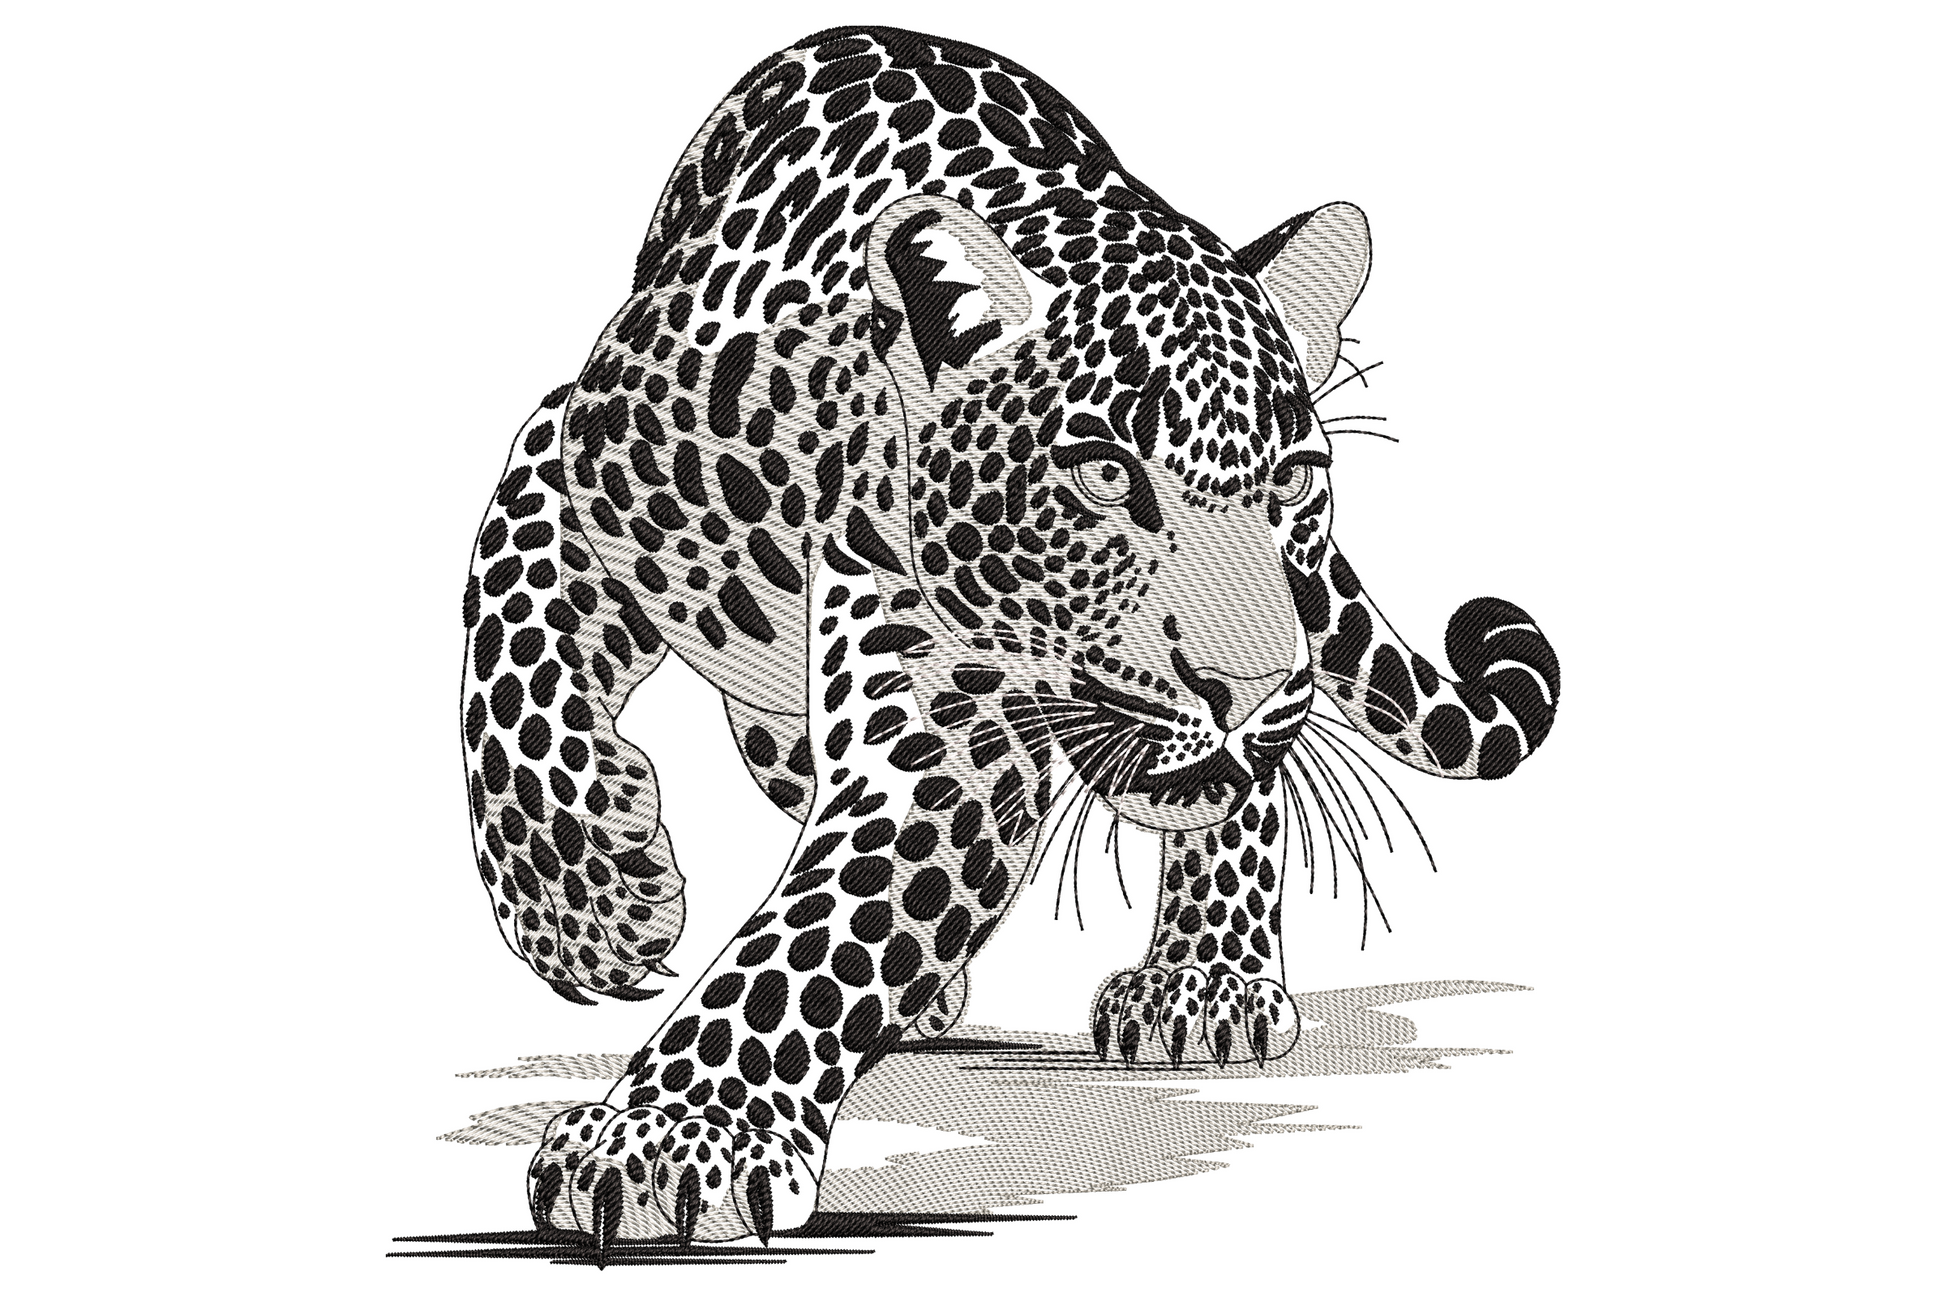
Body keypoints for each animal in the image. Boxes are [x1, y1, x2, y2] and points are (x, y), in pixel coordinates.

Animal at [458, 25, 1561, 1253]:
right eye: (1103, 474)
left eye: (1289, 482)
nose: (1246, 686)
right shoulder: (569, 451)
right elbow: (507, 655)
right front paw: (591, 908)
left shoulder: (956, 730)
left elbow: (818, 931)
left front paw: (669, 1132)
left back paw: (1204, 982)